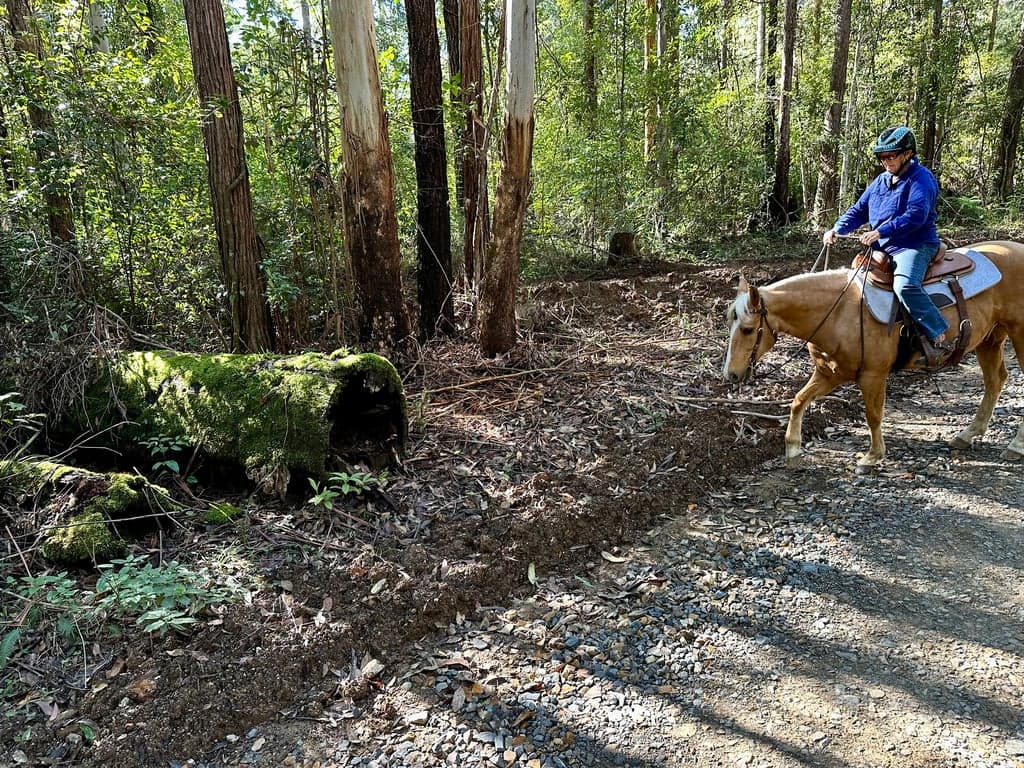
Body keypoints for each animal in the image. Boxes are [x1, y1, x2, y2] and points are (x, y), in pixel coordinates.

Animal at [722, 240, 1024, 469]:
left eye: (748, 329)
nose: (731, 375)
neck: (838, 311)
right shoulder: (830, 374)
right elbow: (798, 401)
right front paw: (793, 450)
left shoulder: (873, 375)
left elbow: (873, 414)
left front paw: (873, 456)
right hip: (990, 339)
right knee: (995, 381)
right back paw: (967, 435)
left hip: (1019, 335)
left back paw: (1015, 446)